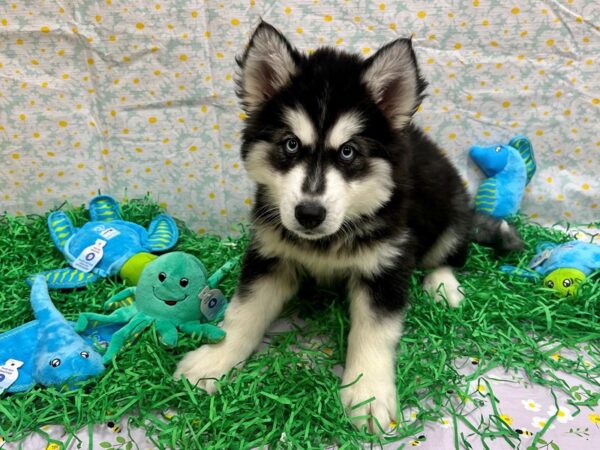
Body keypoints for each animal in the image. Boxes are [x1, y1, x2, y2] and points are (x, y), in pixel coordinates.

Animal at [175, 20, 520, 432]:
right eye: (290, 145)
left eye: (348, 151)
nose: (309, 214)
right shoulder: (270, 256)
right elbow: (243, 313)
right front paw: (215, 359)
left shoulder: (386, 267)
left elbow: (373, 332)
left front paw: (368, 393)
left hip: (449, 213)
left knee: (448, 255)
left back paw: (442, 286)